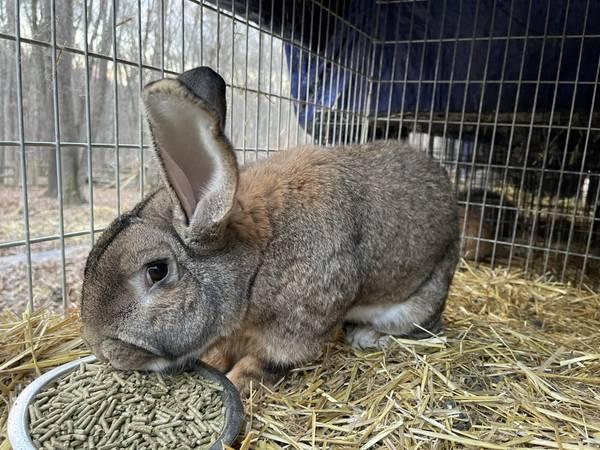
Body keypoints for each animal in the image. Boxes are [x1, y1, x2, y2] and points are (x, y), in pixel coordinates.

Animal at [81, 65, 460, 392]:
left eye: (156, 271)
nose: (102, 350)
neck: (255, 265)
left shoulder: (294, 333)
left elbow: (258, 366)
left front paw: (234, 383)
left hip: (418, 301)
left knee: (420, 329)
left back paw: (368, 336)